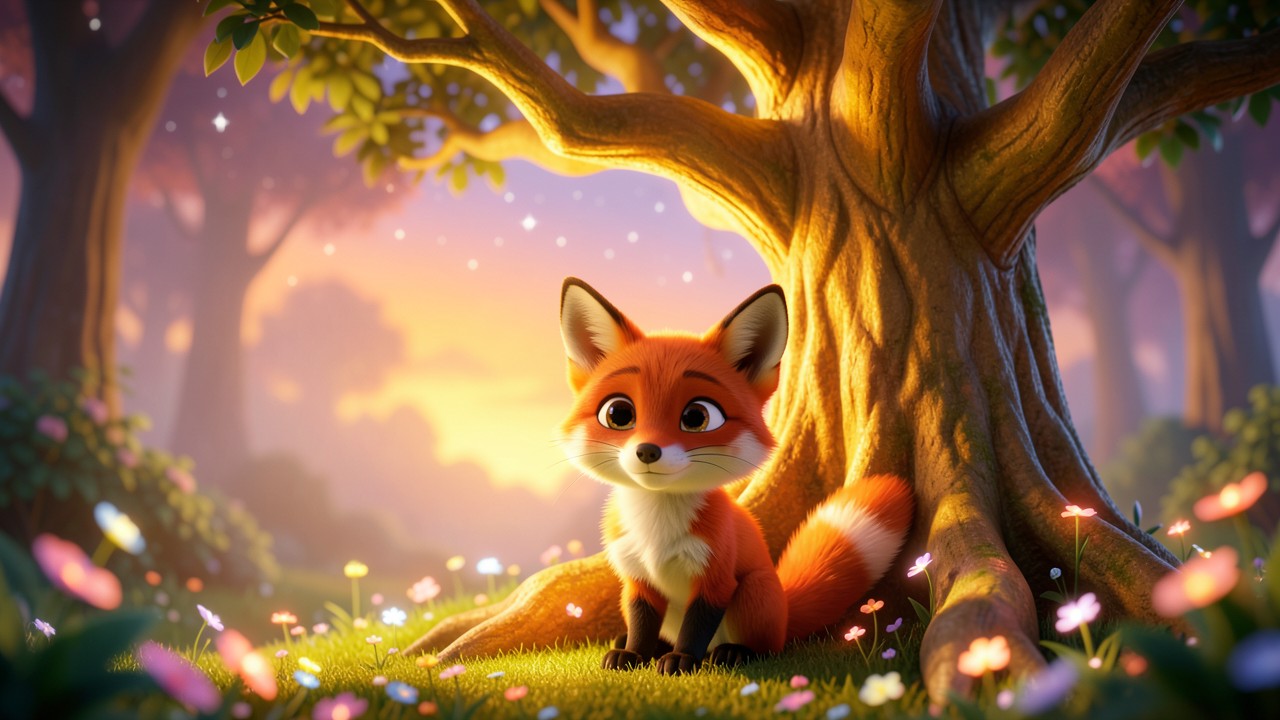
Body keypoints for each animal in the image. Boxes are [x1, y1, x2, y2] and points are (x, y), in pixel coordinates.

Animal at [558, 277, 915, 674]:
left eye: (697, 417)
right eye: (618, 413)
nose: (648, 451)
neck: (658, 529)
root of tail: (785, 610)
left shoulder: (716, 577)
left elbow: (696, 627)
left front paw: (682, 659)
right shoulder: (637, 580)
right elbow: (640, 624)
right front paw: (634, 653)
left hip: (754, 591)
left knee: (766, 647)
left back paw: (732, 653)